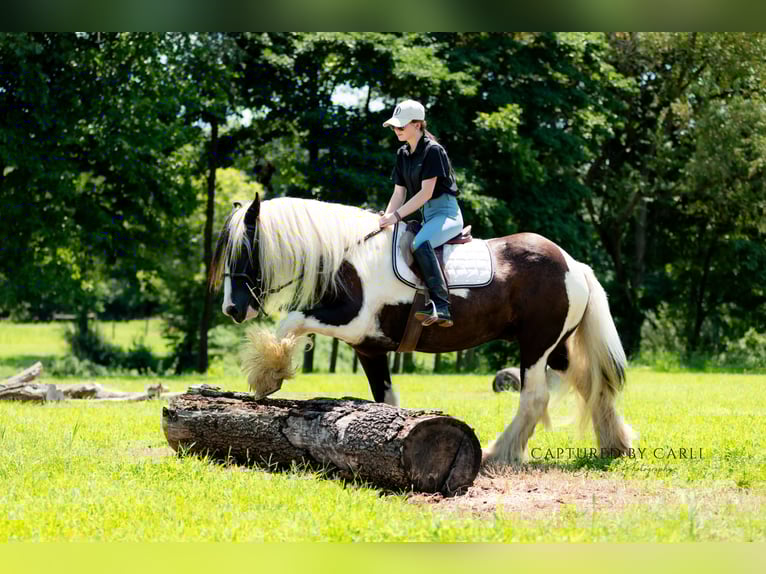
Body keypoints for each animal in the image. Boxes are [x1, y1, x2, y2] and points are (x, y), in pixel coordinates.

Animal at [208, 193, 636, 466]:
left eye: (244, 249)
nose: (231, 309)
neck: (350, 255)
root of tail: (573, 264)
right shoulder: (369, 347)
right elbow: (385, 399)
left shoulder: (353, 323)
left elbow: (291, 320)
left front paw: (270, 372)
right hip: (557, 347)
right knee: (592, 385)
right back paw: (616, 444)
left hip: (536, 347)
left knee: (535, 398)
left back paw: (500, 452)